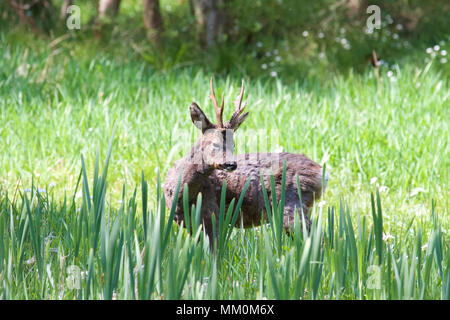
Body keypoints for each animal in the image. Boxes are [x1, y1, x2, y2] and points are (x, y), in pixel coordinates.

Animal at [163, 79, 328, 246]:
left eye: (233, 145)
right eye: (215, 144)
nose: (231, 164)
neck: (182, 194)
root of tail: (321, 173)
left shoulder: (212, 214)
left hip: (291, 206)